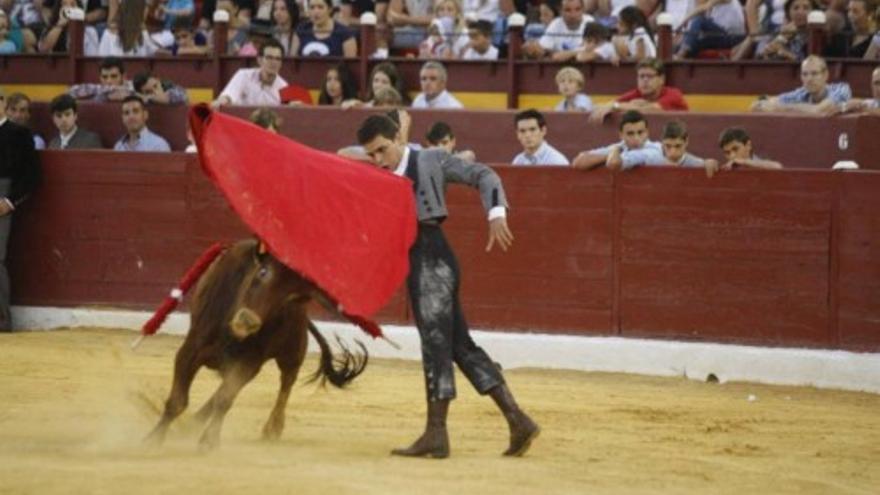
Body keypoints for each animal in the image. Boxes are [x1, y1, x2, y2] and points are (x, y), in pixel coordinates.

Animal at [146, 238, 366, 452]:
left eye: (289, 297)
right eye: (262, 272)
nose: (247, 321)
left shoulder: (248, 363)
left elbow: (225, 400)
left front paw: (208, 441)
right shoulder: (190, 349)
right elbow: (178, 401)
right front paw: (153, 439)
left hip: (293, 351)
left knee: (287, 381)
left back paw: (273, 427)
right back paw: (193, 423)